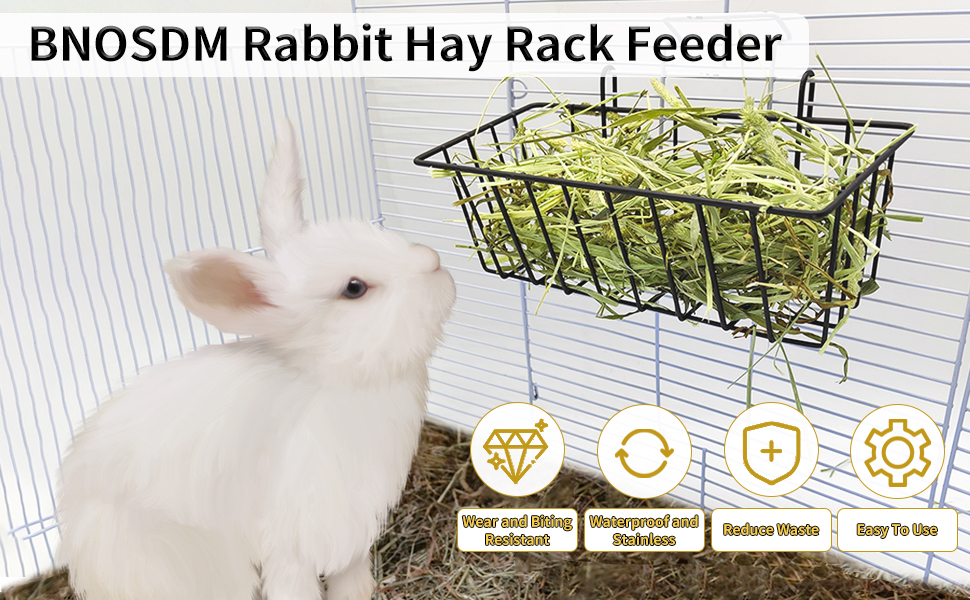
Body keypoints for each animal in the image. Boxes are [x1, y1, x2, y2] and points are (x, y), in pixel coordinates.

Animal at [54, 118, 456, 600]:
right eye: (354, 288)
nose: (433, 260)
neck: (338, 381)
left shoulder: (353, 531)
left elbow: (351, 578)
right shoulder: (295, 538)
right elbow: (295, 587)